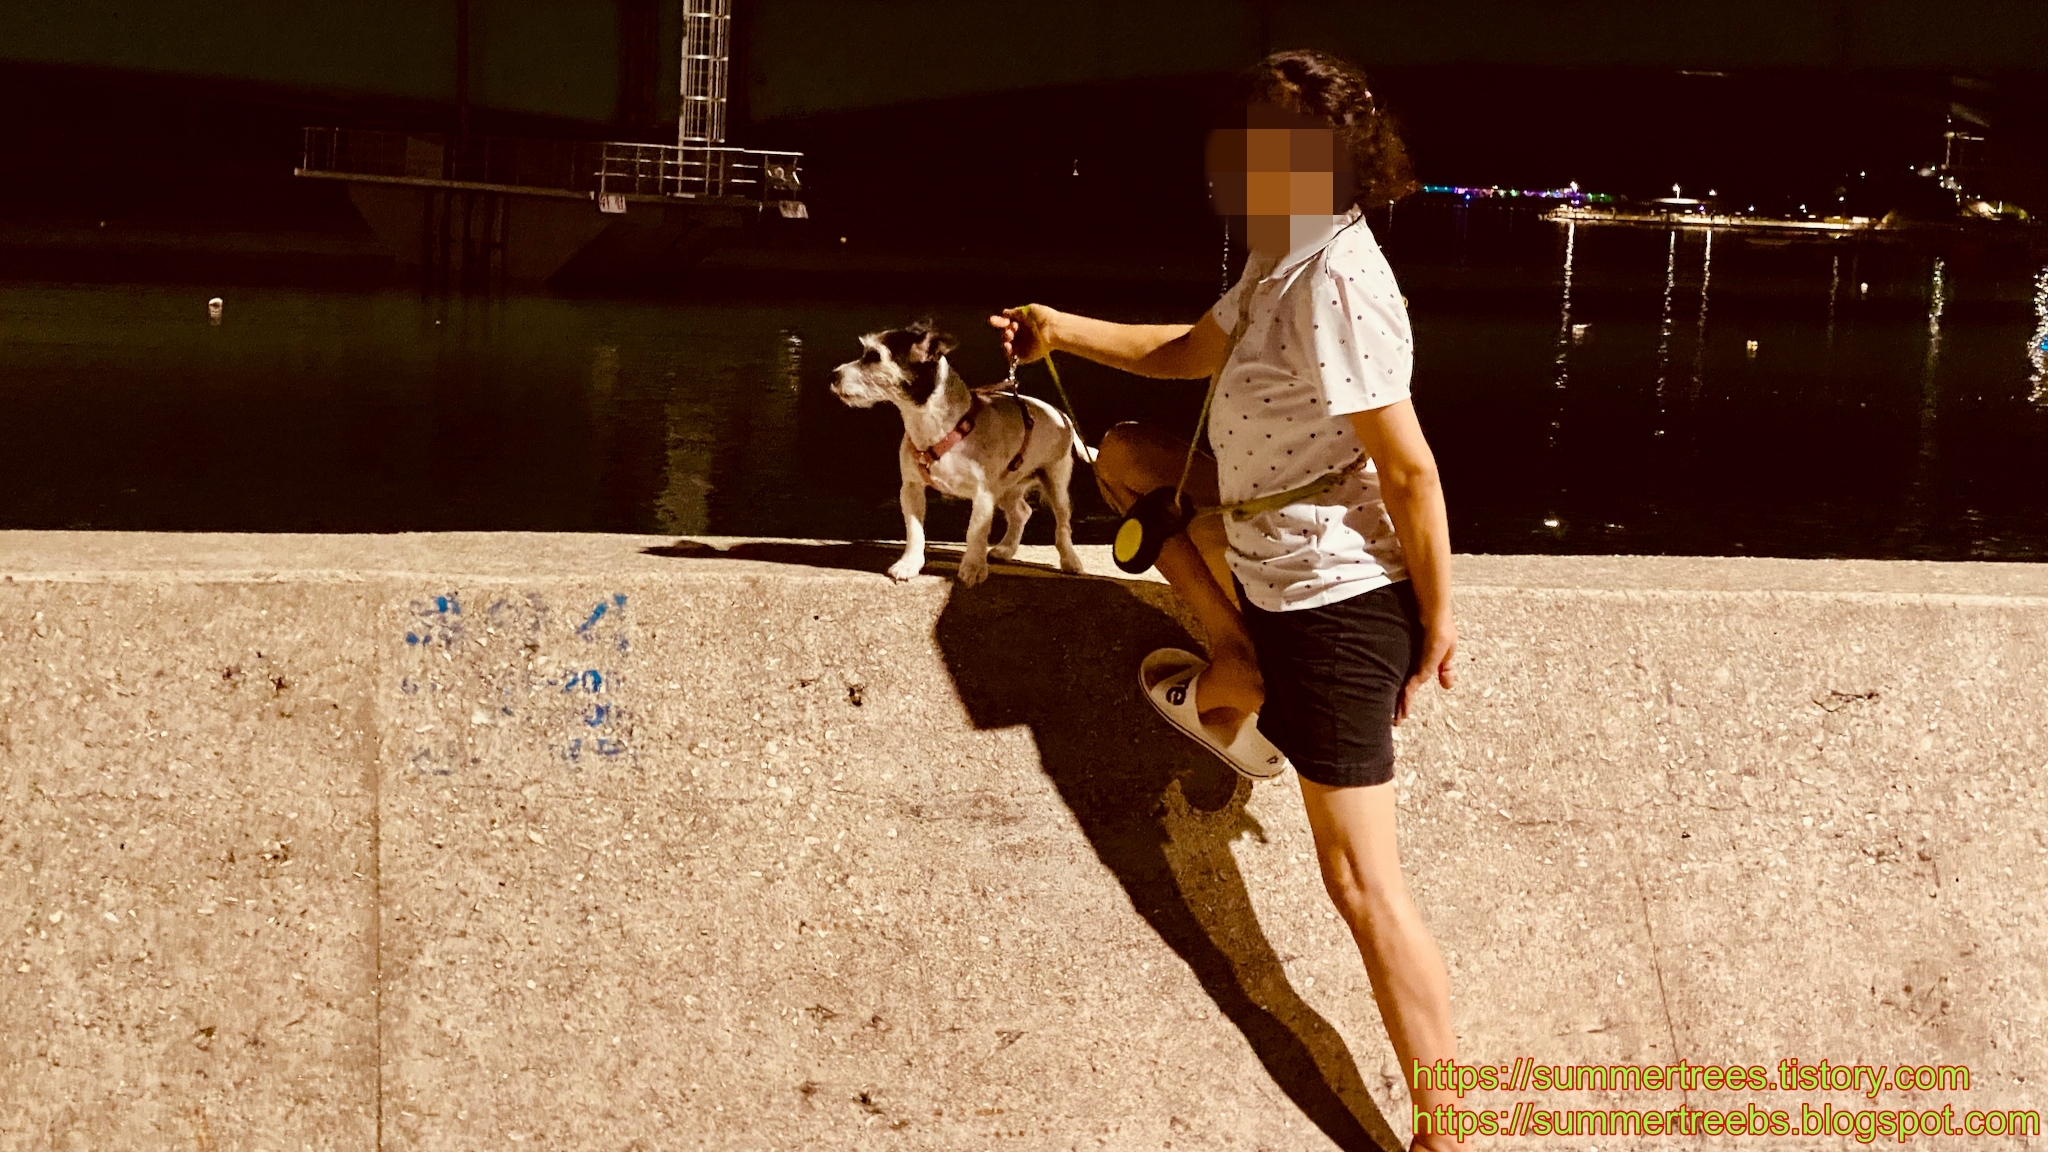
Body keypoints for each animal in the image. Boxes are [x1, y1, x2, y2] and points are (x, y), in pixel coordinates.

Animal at [831, 320, 1090, 586]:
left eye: (874, 356)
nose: (833, 375)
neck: (939, 425)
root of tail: (1062, 415)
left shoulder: (983, 495)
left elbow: (975, 532)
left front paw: (973, 567)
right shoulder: (911, 489)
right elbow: (915, 530)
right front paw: (909, 563)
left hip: (1055, 484)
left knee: (1062, 525)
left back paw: (1070, 560)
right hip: (1007, 487)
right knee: (1021, 512)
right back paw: (1006, 548)